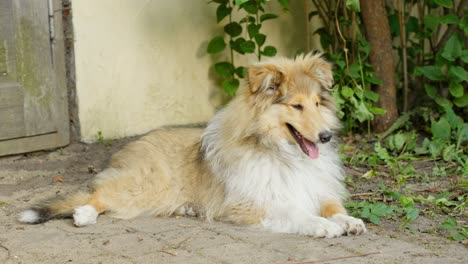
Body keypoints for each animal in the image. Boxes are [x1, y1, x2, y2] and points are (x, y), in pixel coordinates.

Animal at [19, 53, 366, 237]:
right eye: (296, 106)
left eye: (317, 103)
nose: (326, 137)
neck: (284, 155)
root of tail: (139, 141)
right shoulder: (250, 203)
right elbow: (295, 212)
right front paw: (321, 226)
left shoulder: (316, 187)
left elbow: (333, 207)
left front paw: (349, 221)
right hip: (145, 185)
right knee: (97, 195)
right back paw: (84, 214)